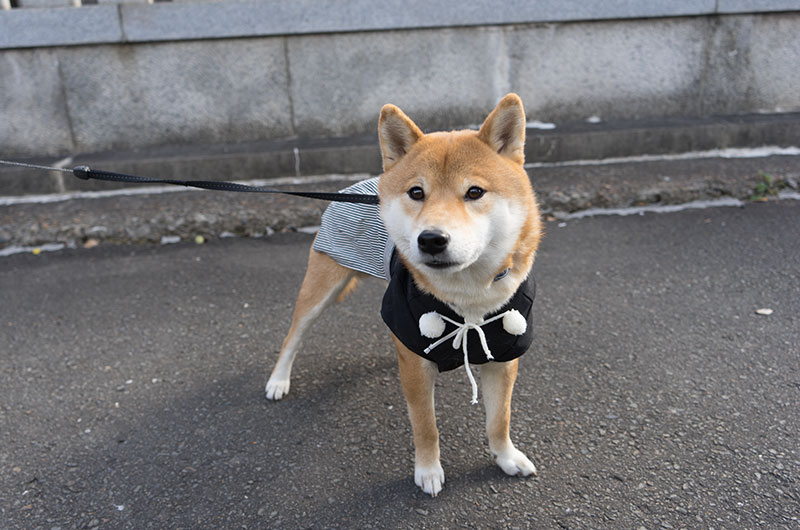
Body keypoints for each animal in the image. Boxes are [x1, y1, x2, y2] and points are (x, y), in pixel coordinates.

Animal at [266, 94, 540, 496]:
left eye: (474, 192)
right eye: (416, 192)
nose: (431, 239)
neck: (468, 297)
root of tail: (359, 187)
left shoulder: (503, 354)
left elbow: (499, 419)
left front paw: (506, 457)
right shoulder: (416, 369)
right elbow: (426, 426)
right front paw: (428, 471)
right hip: (321, 287)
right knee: (293, 335)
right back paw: (278, 380)